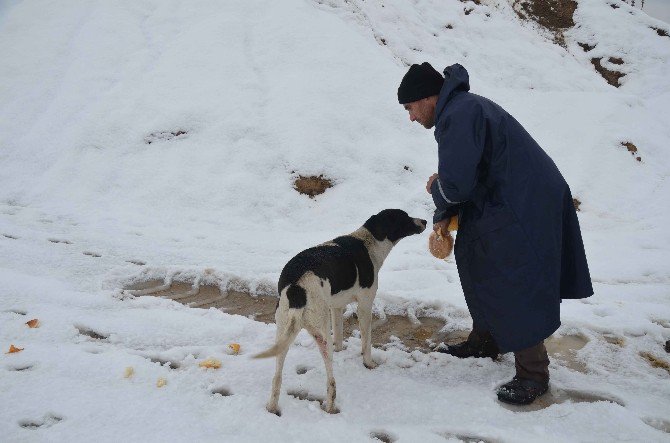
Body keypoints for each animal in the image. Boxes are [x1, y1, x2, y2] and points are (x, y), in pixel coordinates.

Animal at [255, 208, 428, 416]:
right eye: (405, 217)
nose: (425, 221)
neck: (368, 240)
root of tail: (297, 288)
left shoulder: (336, 307)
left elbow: (338, 336)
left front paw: (341, 351)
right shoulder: (365, 305)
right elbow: (366, 343)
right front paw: (369, 364)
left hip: (284, 333)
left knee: (277, 377)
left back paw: (272, 407)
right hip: (321, 334)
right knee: (330, 381)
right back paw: (331, 407)